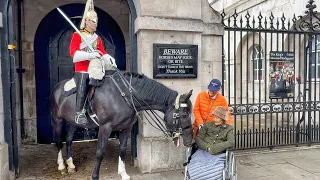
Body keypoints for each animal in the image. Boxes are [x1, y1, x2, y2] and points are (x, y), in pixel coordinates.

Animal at [50, 70, 192, 180]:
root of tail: (57, 86)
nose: (190, 141)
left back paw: (71, 165)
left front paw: (123, 173)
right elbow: (100, 152)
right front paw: (95, 176)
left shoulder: (126, 128)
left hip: (73, 122)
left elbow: (122, 149)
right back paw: (61, 166)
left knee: (69, 140)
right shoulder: (105, 128)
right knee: (59, 141)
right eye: (185, 114)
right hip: (58, 120)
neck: (125, 96)